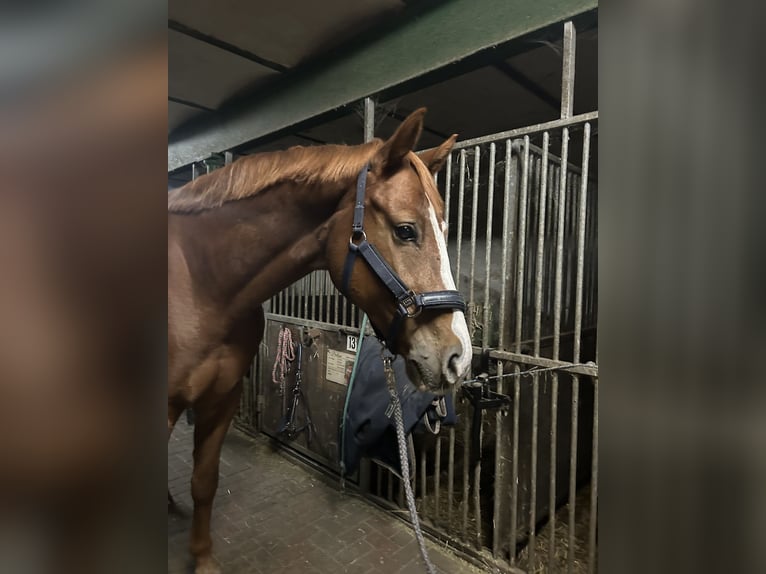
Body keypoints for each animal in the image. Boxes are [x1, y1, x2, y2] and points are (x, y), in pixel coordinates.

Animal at [168, 109, 472, 574]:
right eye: (406, 230)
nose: (459, 357)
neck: (202, 282)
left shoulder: (222, 397)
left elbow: (204, 480)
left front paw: (202, 559)